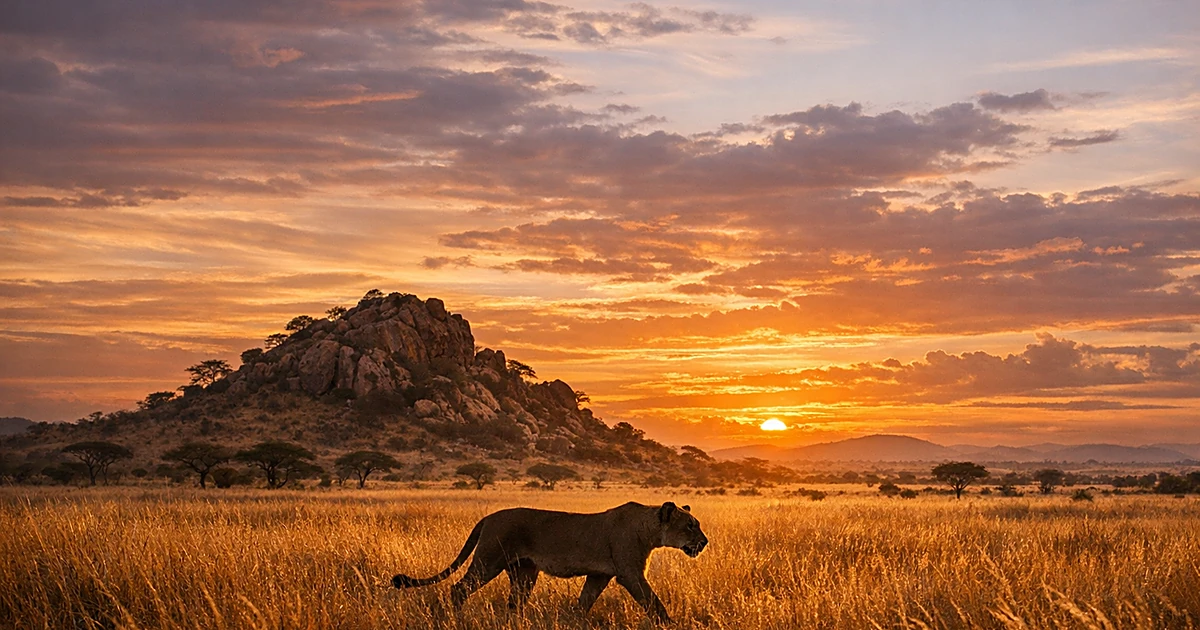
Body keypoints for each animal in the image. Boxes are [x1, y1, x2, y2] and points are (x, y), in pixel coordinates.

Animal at [392, 501, 708, 622]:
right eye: (690, 526)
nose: (704, 542)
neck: (648, 529)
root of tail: (489, 516)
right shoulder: (629, 573)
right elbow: (653, 601)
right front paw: (670, 623)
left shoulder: (600, 575)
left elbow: (584, 601)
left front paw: (574, 621)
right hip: (488, 561)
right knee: (458, 588)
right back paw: (454, 617)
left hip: (524, 572)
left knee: (514, 602)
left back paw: (516, 622)